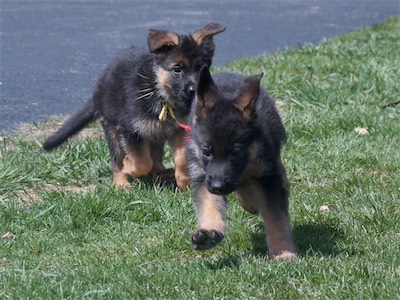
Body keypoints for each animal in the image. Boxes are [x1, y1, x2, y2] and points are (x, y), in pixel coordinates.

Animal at [43, 22, 227, 190]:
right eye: (177, 69)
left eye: (201, 67)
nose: (195, 91)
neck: (160, 93)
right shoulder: (130, 130)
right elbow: (141, 162)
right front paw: (129, 167)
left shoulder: (179, 130)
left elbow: (181, 158)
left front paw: (185, 183)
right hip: (113, 130)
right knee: (118, 160)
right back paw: (121, 182)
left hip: (156, 133)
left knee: (155, 157)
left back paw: (162, 173)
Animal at [188, 67, 296, 260]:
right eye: (207, 152)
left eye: (235, 152)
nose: (218, 187)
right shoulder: (203, 177)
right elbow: (209, 204)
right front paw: (208, 233)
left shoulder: (266, 176)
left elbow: (276, 218)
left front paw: (283, 252)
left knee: (277, 169)